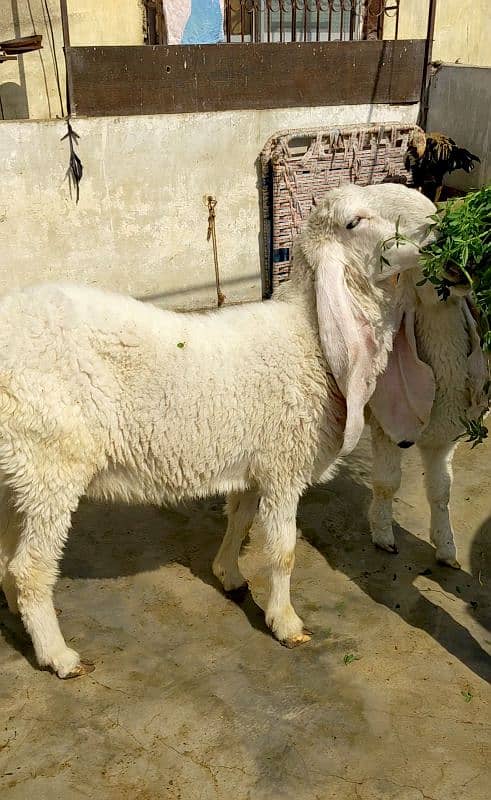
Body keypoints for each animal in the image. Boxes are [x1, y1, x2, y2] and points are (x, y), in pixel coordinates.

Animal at [0, 184, 422, 680]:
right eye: (354, 222)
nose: (433, 225)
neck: (307, 337)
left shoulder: (255, 464)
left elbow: (239, 520)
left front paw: (229, 575)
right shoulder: (283, 464)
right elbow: (282, 551)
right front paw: (285, 623)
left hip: (19, 468)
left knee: (8, 552)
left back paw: (16, 612)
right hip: (52, 460)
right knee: (31, 567)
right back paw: (57, 655)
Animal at [364, 184, 490, 568]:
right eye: (421, 257)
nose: (457, 260)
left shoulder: (445, 436)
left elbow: (441, 491)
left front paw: (447, 547)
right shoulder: (386, 427)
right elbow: (387, 482)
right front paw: (383, 535)